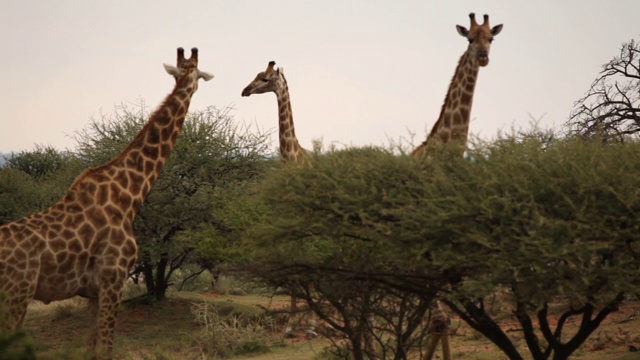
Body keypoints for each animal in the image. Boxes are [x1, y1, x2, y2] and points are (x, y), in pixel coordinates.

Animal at [0, 47, 215, 358]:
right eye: (196, 75)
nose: (193, 87)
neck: (128, 194)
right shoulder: (113, 280)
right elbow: (106, 348)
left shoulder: (93, 292)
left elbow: (92, 348)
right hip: (17, 294)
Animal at [242, 60, 318, 338]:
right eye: (255, 75)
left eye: (265, 79)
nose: (244, 90)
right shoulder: (288, 222)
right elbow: (295, 269)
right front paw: (290, 326)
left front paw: (310, 327)